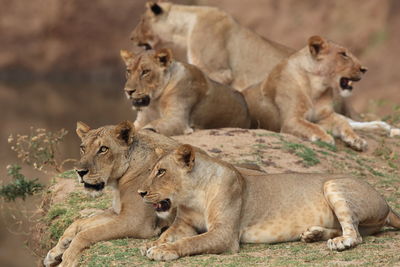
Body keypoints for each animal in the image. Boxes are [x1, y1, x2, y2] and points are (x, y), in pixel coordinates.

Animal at [43, 122, 178, 267]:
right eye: (83, 148)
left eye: (103, 149)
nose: (80, 172)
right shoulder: (117, 212)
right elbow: (80, 222)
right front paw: (58, 249)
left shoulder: (136, 221)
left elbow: (87, 233)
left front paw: (67, 258)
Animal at [119, 47, 250, 136]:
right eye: (128, 71)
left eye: (145, 71)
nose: (128, 91)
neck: (155, 102)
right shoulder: (141, 120)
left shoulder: (178, 120)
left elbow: (149, 127)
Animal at [138, 144, 400, 262]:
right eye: (152, 170)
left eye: (161, 171)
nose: (140, 192)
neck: (193, 196)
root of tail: (386, 203)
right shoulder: (184, 224)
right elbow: (169, 234)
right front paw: (151, 244)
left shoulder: (225, 234)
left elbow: (191, 242)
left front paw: (163, 251)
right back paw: (313, 234)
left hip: (333, 184)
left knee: (354, 233)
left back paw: (340, 242)